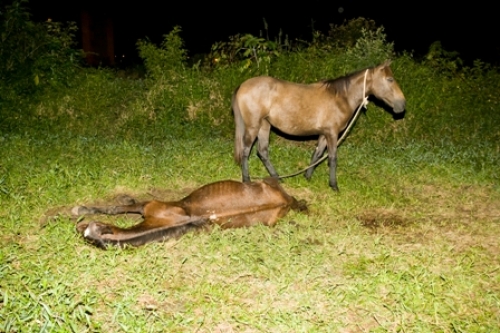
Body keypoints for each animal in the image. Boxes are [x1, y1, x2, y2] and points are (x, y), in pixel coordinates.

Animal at [70, 178, 304, 248]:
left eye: (90, 227)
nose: (79, 227)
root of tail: (287, 200)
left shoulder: (149, 205)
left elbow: (116, 208)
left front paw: (80, 209)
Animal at [233, 59, 406, 189]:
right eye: (390, 79)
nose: (402, 104)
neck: (340, 97)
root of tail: (242, 85)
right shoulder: (332, 133)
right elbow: (332, 158)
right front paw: (334, 185)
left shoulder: (324, 133)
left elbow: (317, 155)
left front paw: (307, 177)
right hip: (253, 126)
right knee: (246, 151)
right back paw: (247, 180)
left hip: (264, 126)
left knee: (262, 152)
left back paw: (277, 179)